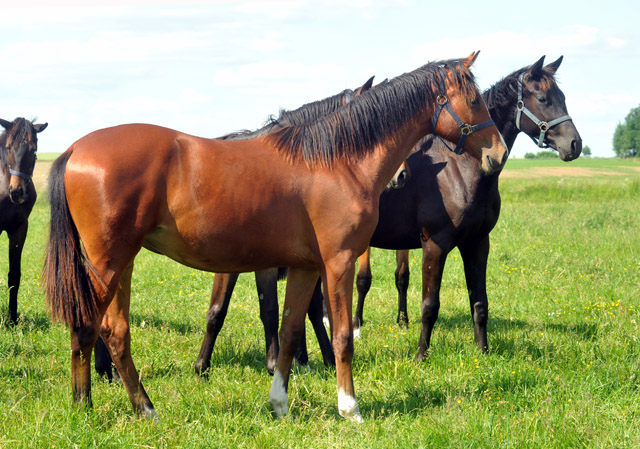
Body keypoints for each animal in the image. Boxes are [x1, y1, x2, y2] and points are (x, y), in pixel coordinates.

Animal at [42, 54, 508, 422]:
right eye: (474, 99)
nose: (498, 154)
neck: (335, 160)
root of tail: (75, 150)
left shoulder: (305, 268)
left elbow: (288, 332)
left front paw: (280, 404)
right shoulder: (338, 263)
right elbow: (341, 336)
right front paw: (349, 407)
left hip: (123, 264)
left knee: (114, 332)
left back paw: (133, 407)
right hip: (108, 265)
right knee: (92, 327)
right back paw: (95, 407)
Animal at [352, 56, 584, 358]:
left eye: (563, 98)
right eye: (543, 99)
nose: (575, 144)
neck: (460, 170)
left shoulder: (477, 243)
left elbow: (479, 302)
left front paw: (483, 350)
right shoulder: (434, 245)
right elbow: (429, 305)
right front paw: (421, 355)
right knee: (359, 280)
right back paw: (354, 327)